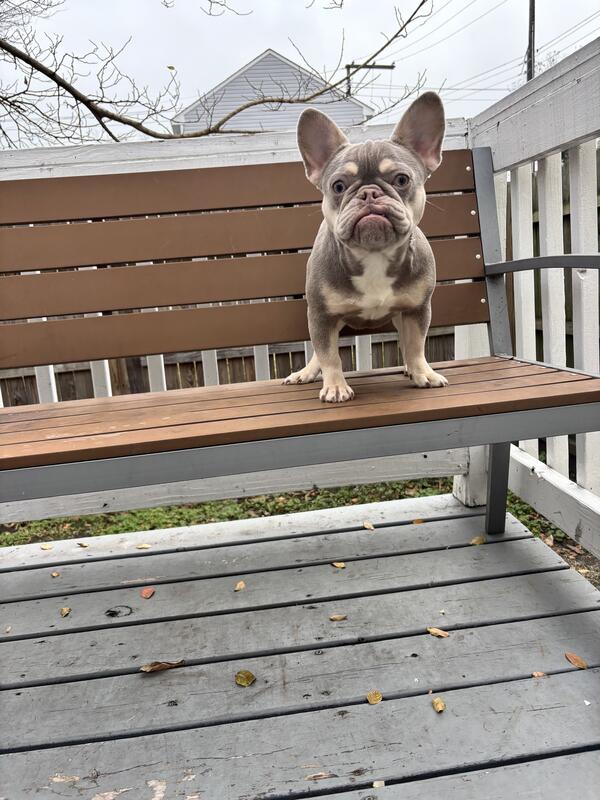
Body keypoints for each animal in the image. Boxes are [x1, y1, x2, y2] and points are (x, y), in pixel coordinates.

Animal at [283, 91, 449, 402]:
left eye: (401, 179)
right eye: (338, 186)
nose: (369, 192)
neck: (374, 254)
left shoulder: (418, 309)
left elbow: (417, 345)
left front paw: (424, 372)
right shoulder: (321, 316)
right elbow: (328, 355)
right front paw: (335, 387)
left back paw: (410, 369)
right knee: (319, 352)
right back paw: (307, 373)